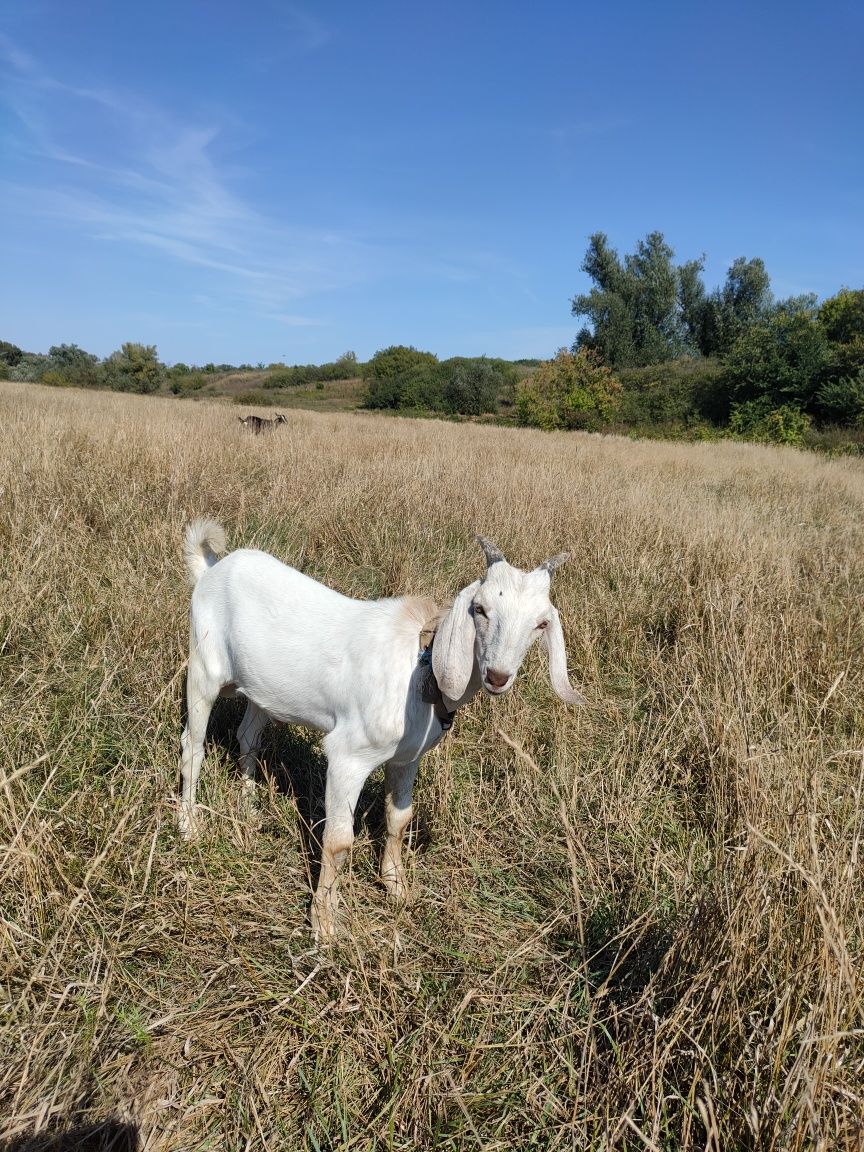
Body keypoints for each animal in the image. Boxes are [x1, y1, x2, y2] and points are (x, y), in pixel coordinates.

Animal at [177, 518, 582, 940]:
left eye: (540, 623)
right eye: (480, 609)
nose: (497, 676)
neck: (420, 667)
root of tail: (211, 570)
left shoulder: (406, 758)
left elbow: (399, 817)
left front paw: (396, 886)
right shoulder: (347, 756)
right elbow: (338, 841)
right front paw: (324, 925)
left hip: (262, 690)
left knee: (248, 738)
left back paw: (250, 808)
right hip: (203, 668)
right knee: (193, 744)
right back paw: (190, 826)